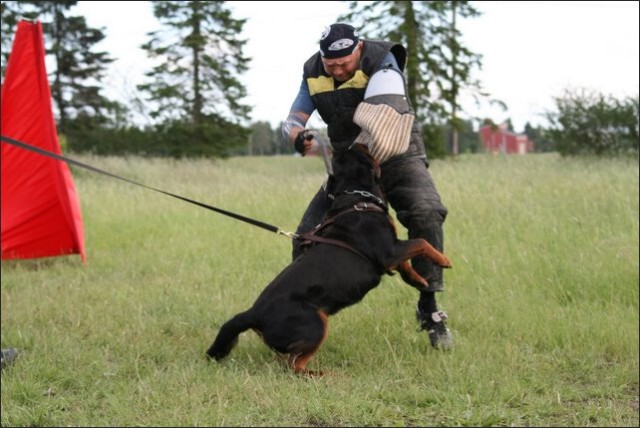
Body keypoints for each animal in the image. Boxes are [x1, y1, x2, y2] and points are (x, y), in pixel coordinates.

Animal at [205, 144, 450, 374]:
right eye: (362, 152)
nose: (359, 143)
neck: (357, 199)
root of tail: (253, 313)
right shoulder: (388, 250)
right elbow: (420, 242)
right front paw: (444, 260)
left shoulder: (391, 252)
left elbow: (407, 263)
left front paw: (419, 280)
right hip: (315, 324)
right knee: (293, 366)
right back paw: (325, 374)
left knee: (284, 361)